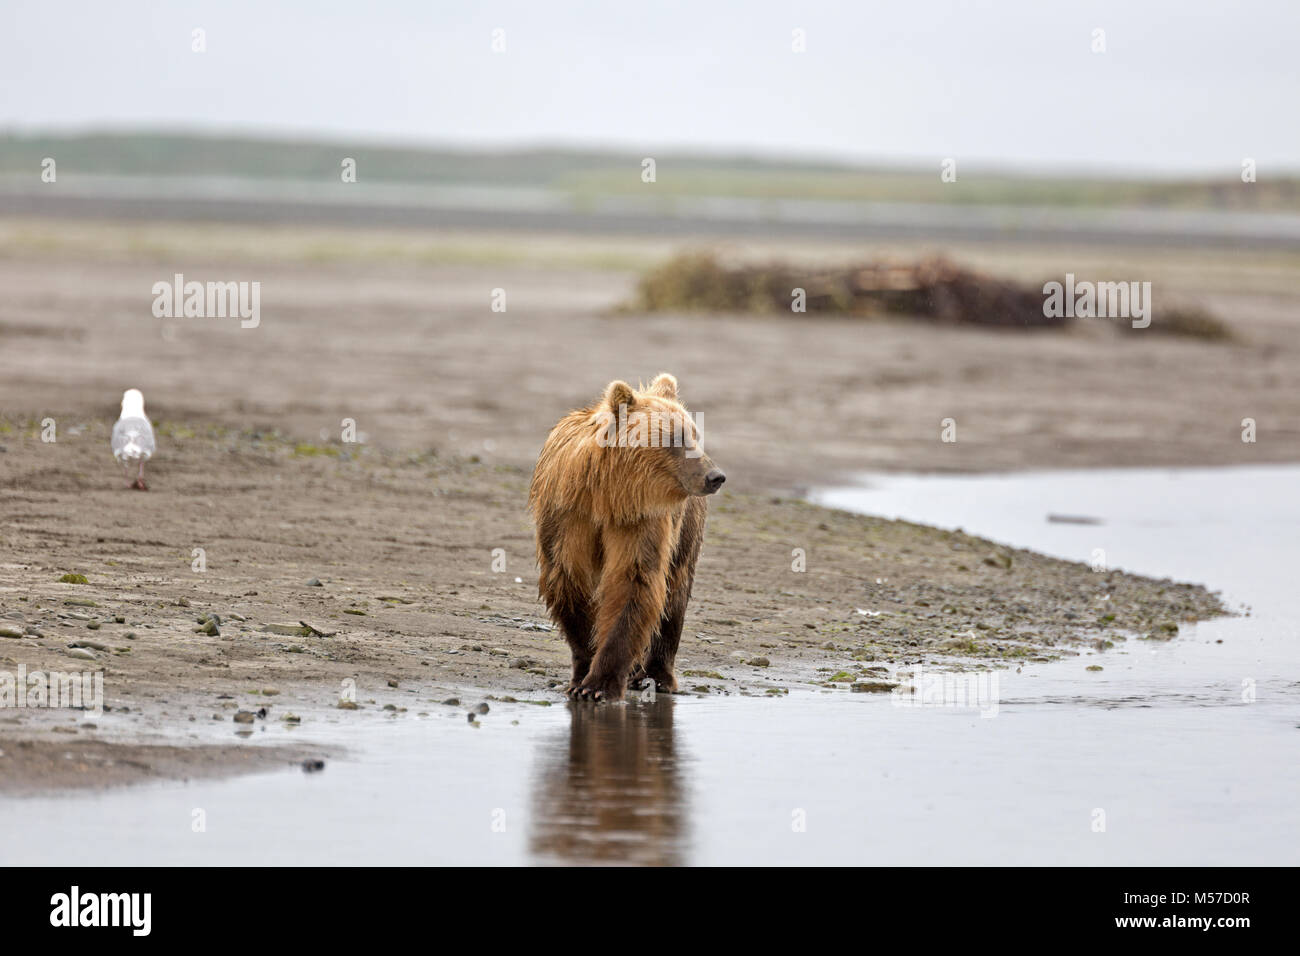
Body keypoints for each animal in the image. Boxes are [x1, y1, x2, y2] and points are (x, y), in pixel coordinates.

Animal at [533, 374, 728, 702]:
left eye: (695, 435)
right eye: (674, 438)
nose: (715, 476)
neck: (608, 496)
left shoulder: (640, 521)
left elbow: (634, 581)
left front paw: (598, 684)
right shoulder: (568, 518)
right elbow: (569, 581)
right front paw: (582, 674)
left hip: (686, 527)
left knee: (675, 593)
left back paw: (657, 676)